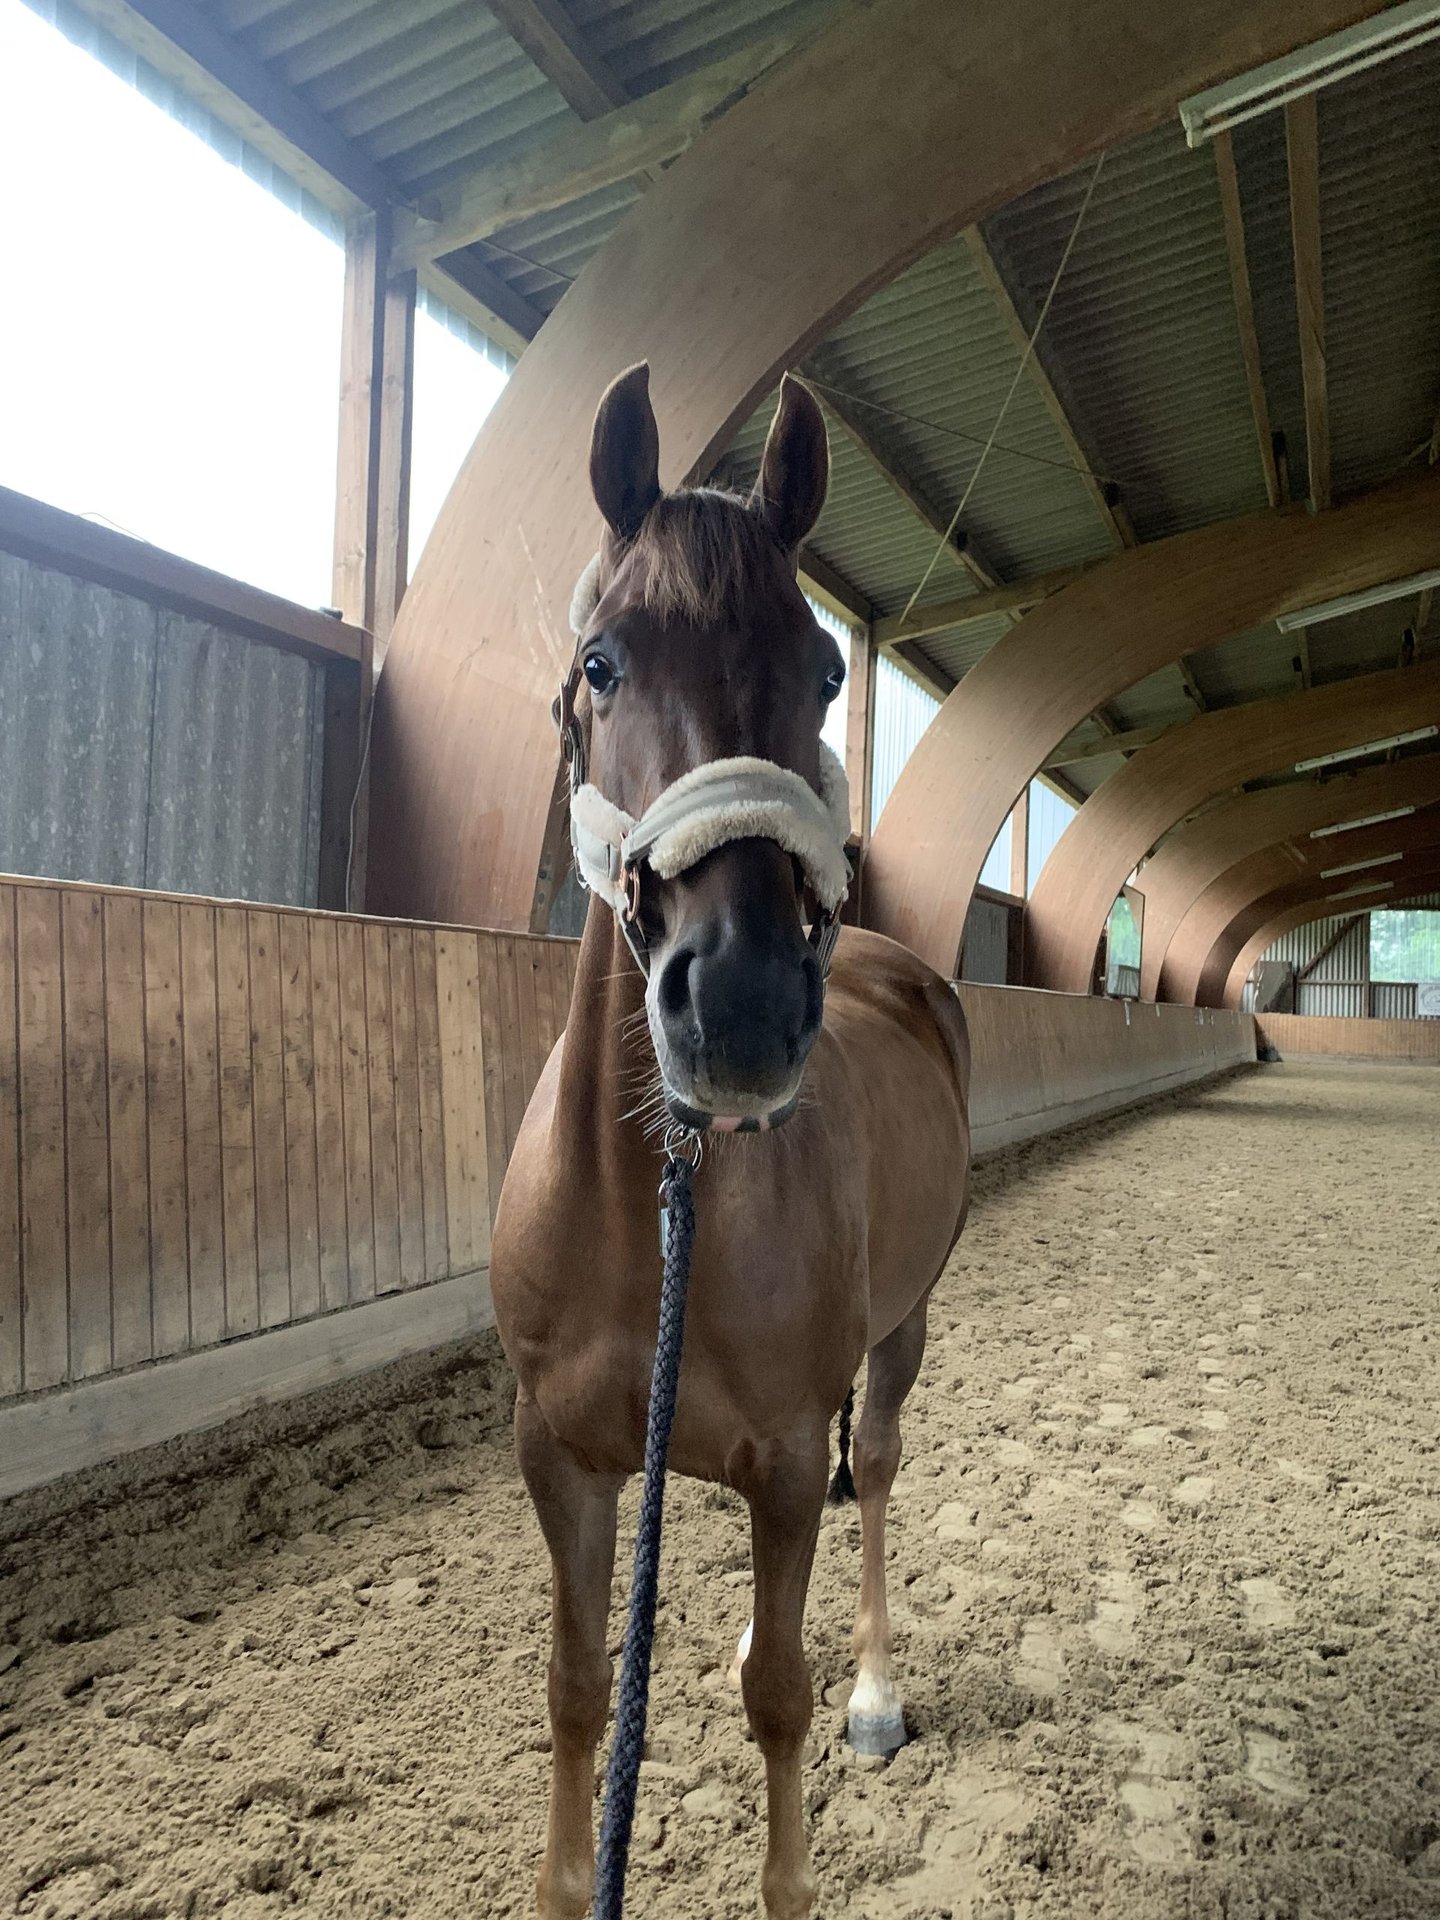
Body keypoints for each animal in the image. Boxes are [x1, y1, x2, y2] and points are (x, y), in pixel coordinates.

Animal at [491, 366, 975, 1912]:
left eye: (825, 673)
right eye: (602, 662)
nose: (745, 1003)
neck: (648, 1206)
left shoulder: (781, 1462)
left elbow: (782, 1703)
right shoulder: (564, 1458)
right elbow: (579, 1689)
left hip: (900, 1334)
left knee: (876, 1471)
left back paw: (874, 1689)